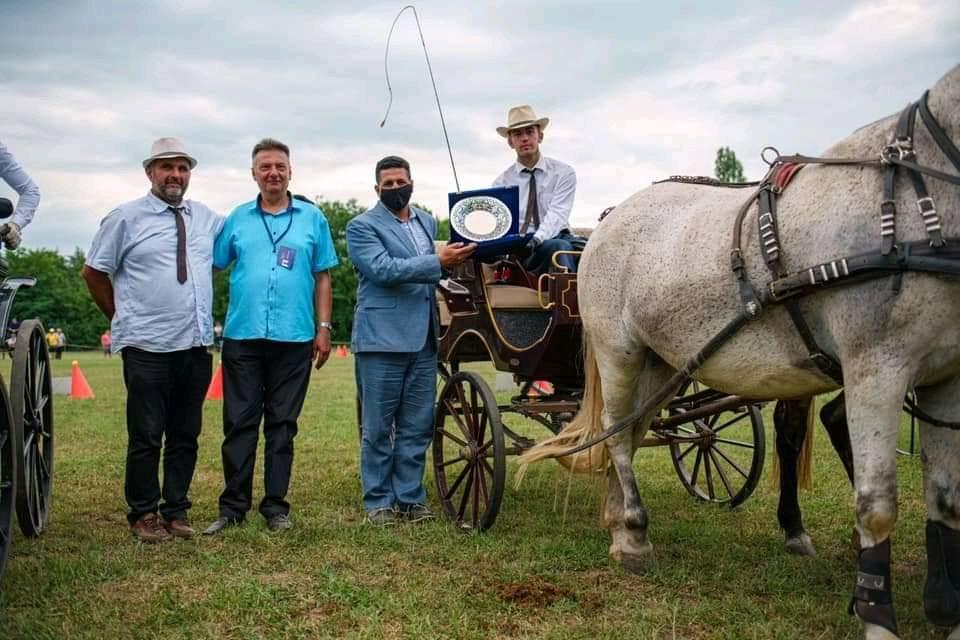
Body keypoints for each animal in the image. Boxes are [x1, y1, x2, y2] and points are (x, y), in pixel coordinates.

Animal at [524, 66, 960, 640]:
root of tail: (604, 225)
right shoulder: (876, 369)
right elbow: (877, 506)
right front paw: (876, 617)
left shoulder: (943, 379)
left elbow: (946, 501)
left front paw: (946, 612)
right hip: (619, 352)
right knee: (617, 435)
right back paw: (634, 534)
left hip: (660, 362)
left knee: (632, 432)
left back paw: (618, 521)